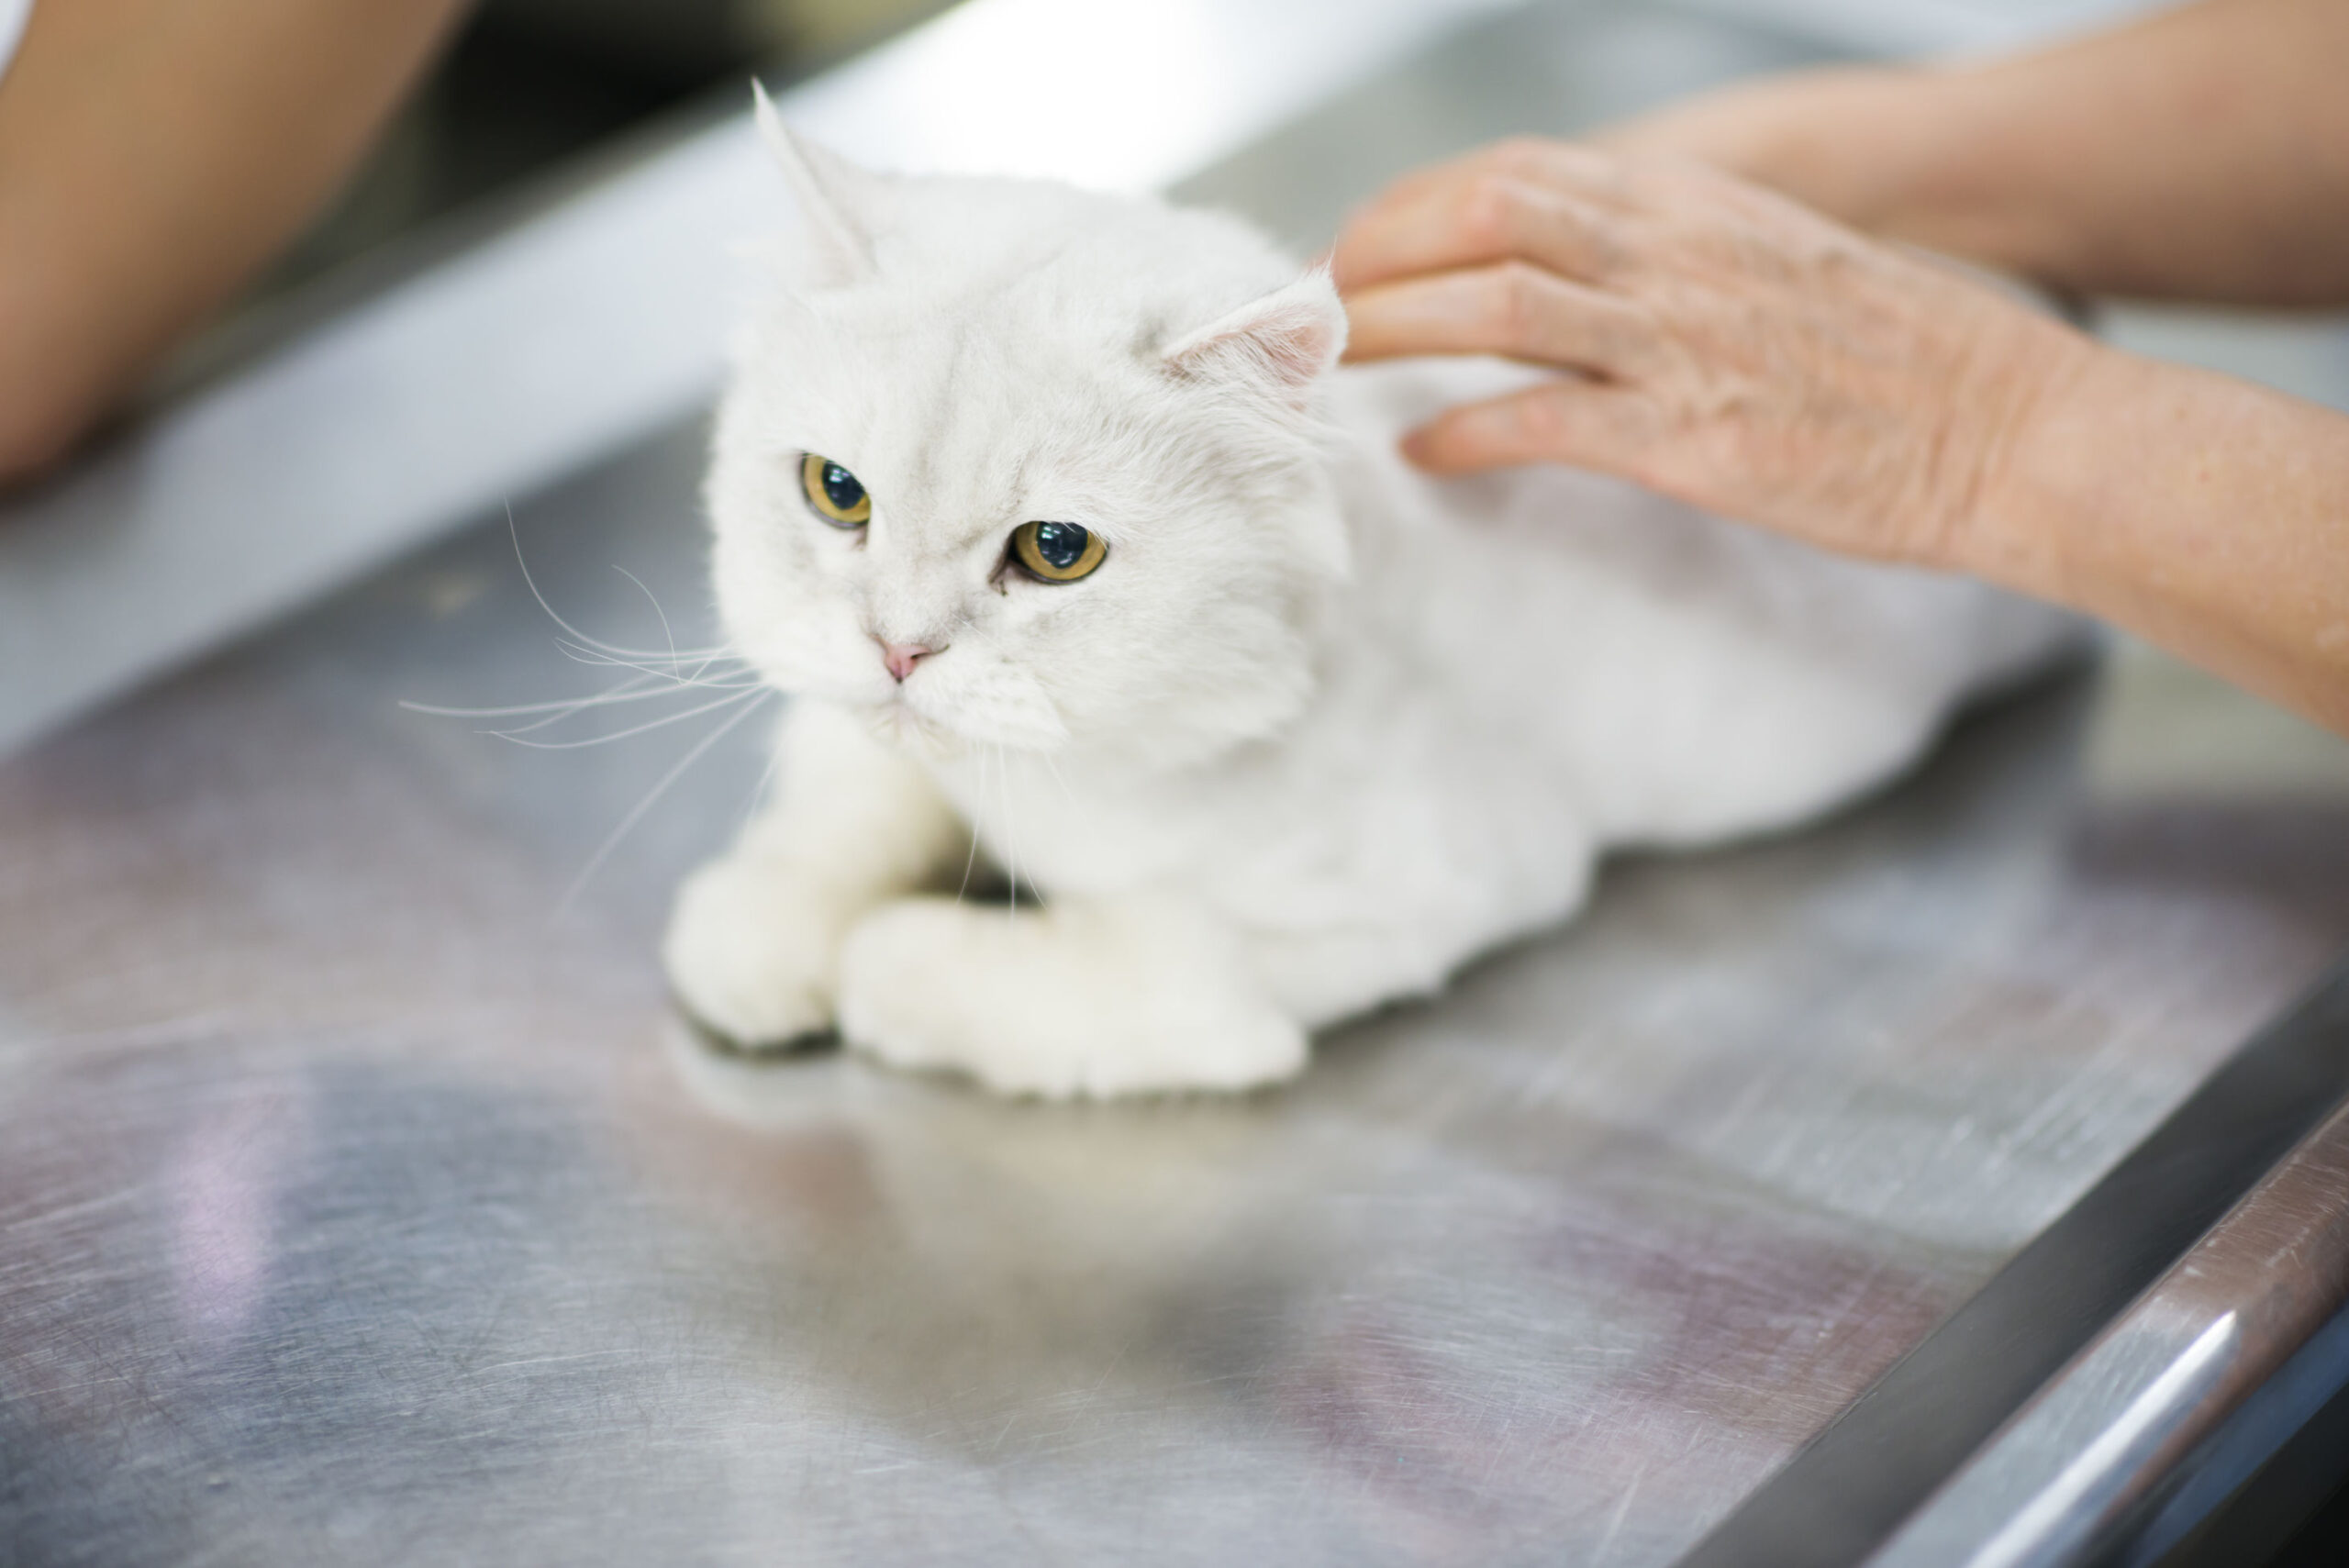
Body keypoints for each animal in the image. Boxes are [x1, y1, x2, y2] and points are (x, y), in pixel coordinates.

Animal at [667, 101, 2076, 1103]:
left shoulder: (1363, 915)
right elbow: (842, 802)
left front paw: (872, 968)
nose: (898, 650)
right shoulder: (871, 742)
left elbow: (1008, 965)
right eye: (835, 493)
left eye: (1057, 550)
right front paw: (758, 937)